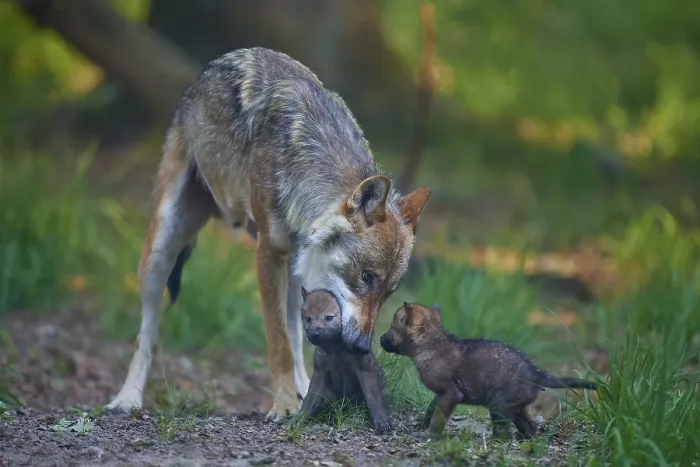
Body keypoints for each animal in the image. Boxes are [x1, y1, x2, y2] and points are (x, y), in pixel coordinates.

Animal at [105, 47, 431, 421]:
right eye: (366, 277)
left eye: (389, 292)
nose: (364, 346)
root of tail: (207, 71)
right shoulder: (268, 252)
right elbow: (278, 344)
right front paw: (285, 406)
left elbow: (294, 339)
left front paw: (299, 396)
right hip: (161, 249)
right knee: (147, 333)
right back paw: (127, 398)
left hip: (296, 275)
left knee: (297, 332)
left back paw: (304, 386)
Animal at [379, 302, 597, 439]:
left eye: (391, 328)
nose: (380, 338)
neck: (431, 344)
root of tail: (537, 372)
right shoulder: (441, 394)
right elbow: (431, 409)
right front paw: (421, 425)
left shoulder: (450, 394)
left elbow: (438, 418)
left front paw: (430, 435)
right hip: (514, 406)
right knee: (530, 425)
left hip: (498, 404)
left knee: (505, 433)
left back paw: (497, 440)